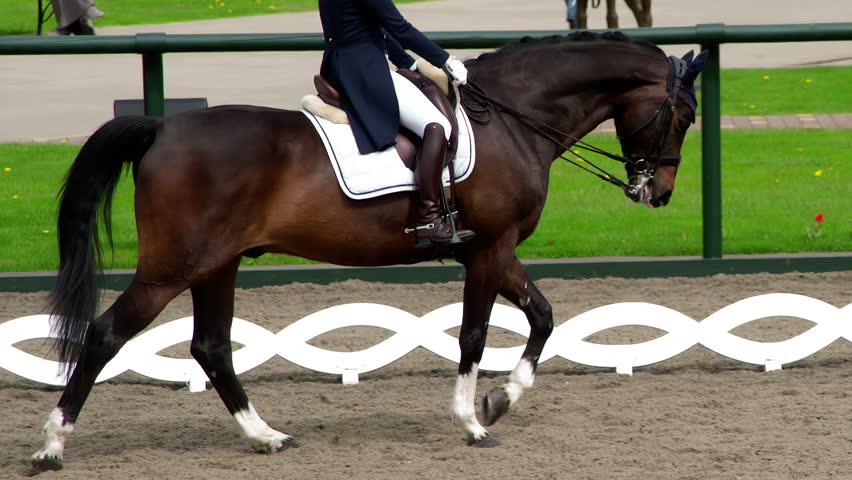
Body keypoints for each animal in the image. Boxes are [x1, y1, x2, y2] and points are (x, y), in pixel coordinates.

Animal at [31, 31, 707, 470]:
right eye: (683, 116)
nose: (659, 192)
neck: (512, 120)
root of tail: (163, 126)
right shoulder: (489, 250)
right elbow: (474, 335)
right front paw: (472, 421)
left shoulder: (495, 250)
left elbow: (542, 316)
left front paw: (500, 400)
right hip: (173, 267)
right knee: (106, 335)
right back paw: (52, 445)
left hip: (217, 265)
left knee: (211, 347)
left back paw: (265, 436)